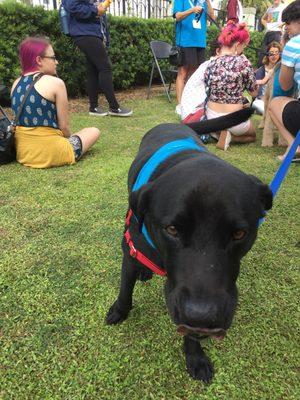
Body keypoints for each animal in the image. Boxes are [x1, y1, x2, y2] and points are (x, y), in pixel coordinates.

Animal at [106, 121, 274, 382]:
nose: (203, 317)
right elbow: (125, 285)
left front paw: (195, 357)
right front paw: (119, 310)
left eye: (239, 234)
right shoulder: (130, 247)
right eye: (172, 229)